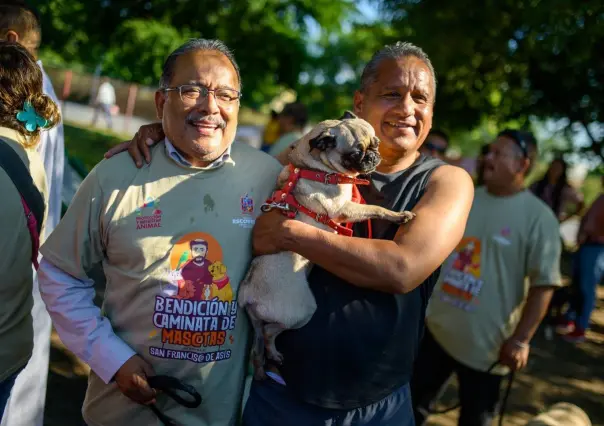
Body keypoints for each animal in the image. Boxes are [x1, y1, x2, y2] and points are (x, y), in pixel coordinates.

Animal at [236, 110, 416, 380]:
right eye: (355, 154)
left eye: (376, 143)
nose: (373, 156)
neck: (316, 167)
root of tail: (248, 291)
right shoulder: (344, 209)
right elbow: (376, 209)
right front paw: (398, 216)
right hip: (303, 311)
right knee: (270, 332)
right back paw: (275, 353)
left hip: (256, 324)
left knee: (258, 344)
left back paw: (263, 365)